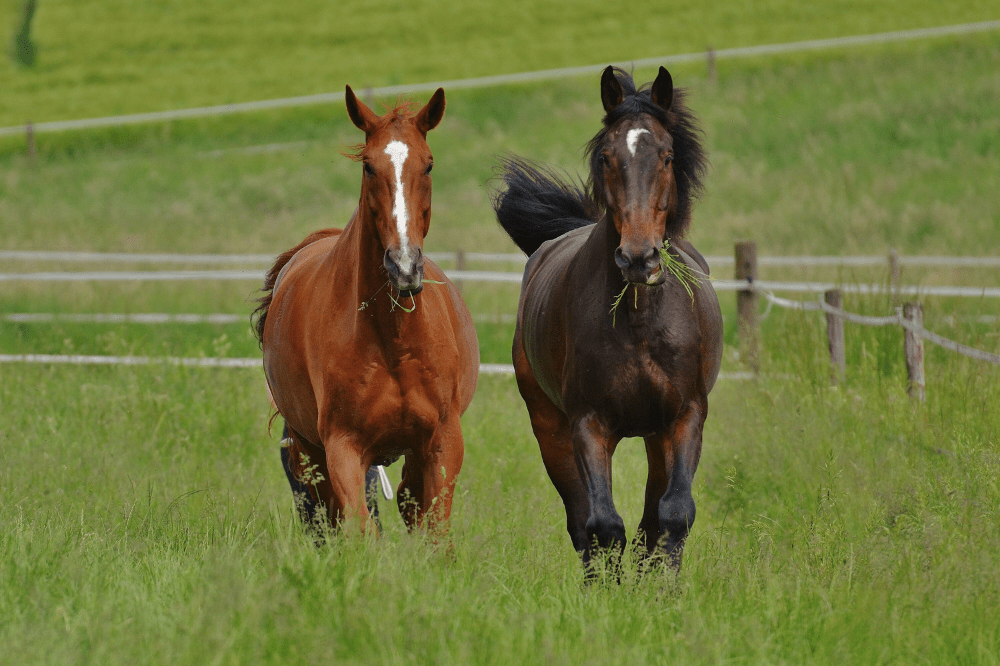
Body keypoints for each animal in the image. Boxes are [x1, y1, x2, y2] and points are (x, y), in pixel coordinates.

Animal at [253, 85, 479, 535]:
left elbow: (434, 531)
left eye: (429, 164)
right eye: (369, 167)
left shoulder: (443, 442)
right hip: (310, 451)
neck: (392, 341)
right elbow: (360, 528)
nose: (404, 265)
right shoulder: (343, 447)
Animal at [492, 66, 723, 571]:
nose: (638, 258)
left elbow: (672, 514)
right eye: (605, 157)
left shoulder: (685, 416)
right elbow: (602, 526)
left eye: (668, 156)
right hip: (550, 428)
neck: (639, 323)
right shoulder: (588, 424)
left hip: (656, 437)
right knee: (582, 523)